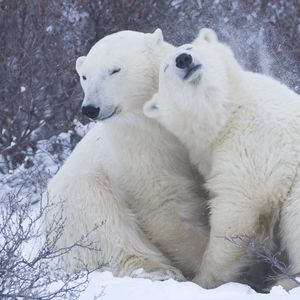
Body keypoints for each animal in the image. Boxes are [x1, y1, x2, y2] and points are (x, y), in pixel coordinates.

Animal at [44, 28, 209, 282]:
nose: (90, 108)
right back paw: (158, 271)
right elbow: (166, 205)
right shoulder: (138, 148)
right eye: (85, 76)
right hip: (79, 199)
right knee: (106, 226)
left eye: (114, 70)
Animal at [143, 28, 300, 290]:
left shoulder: (254, 140)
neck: (227, 111)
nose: (183, 59)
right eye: (165, 67)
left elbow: (238, 206)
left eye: (190, 47)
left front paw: (203, 279)